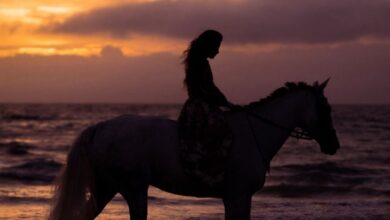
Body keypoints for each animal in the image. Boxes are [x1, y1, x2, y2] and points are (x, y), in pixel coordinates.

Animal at [48, 80, 338, 220]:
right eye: (325, 108)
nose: (334, 145)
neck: (254, 132)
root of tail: (100, 127)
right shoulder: (239, 196)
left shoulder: (235, 198)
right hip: (133, 188)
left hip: (107, 187)